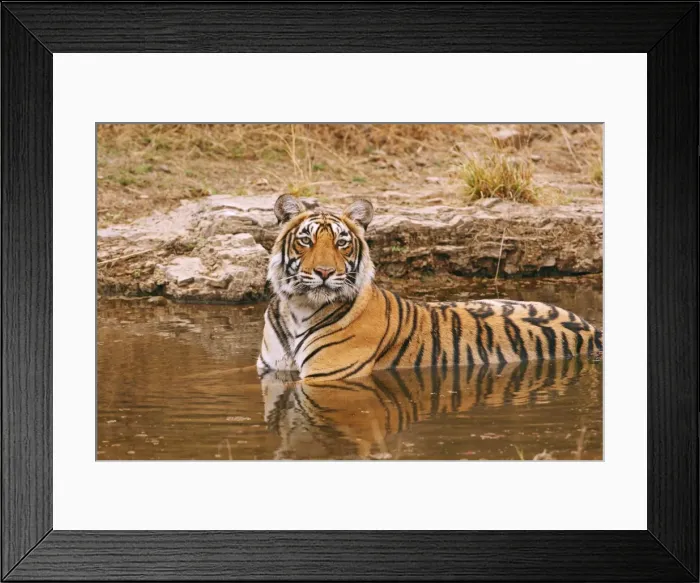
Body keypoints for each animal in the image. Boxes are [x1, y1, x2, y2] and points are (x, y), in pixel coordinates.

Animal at [257, 194, 602, 382]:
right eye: (306, 240)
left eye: (342, 243)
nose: (325, 272)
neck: (298, 309)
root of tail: (592, 329)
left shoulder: (327, 376)